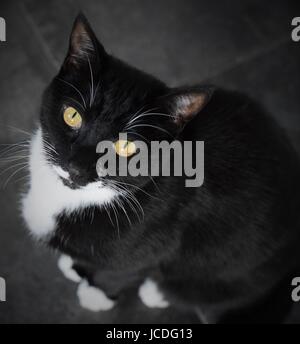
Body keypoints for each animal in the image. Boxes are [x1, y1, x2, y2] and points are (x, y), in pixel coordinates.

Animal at [22, 14, 300, 326]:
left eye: (126, 146)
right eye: (72, 115)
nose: (75, 168)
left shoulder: (153, 240)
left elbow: (120, 271)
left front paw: (95, 294)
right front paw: (76, 265)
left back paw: (157, 292)